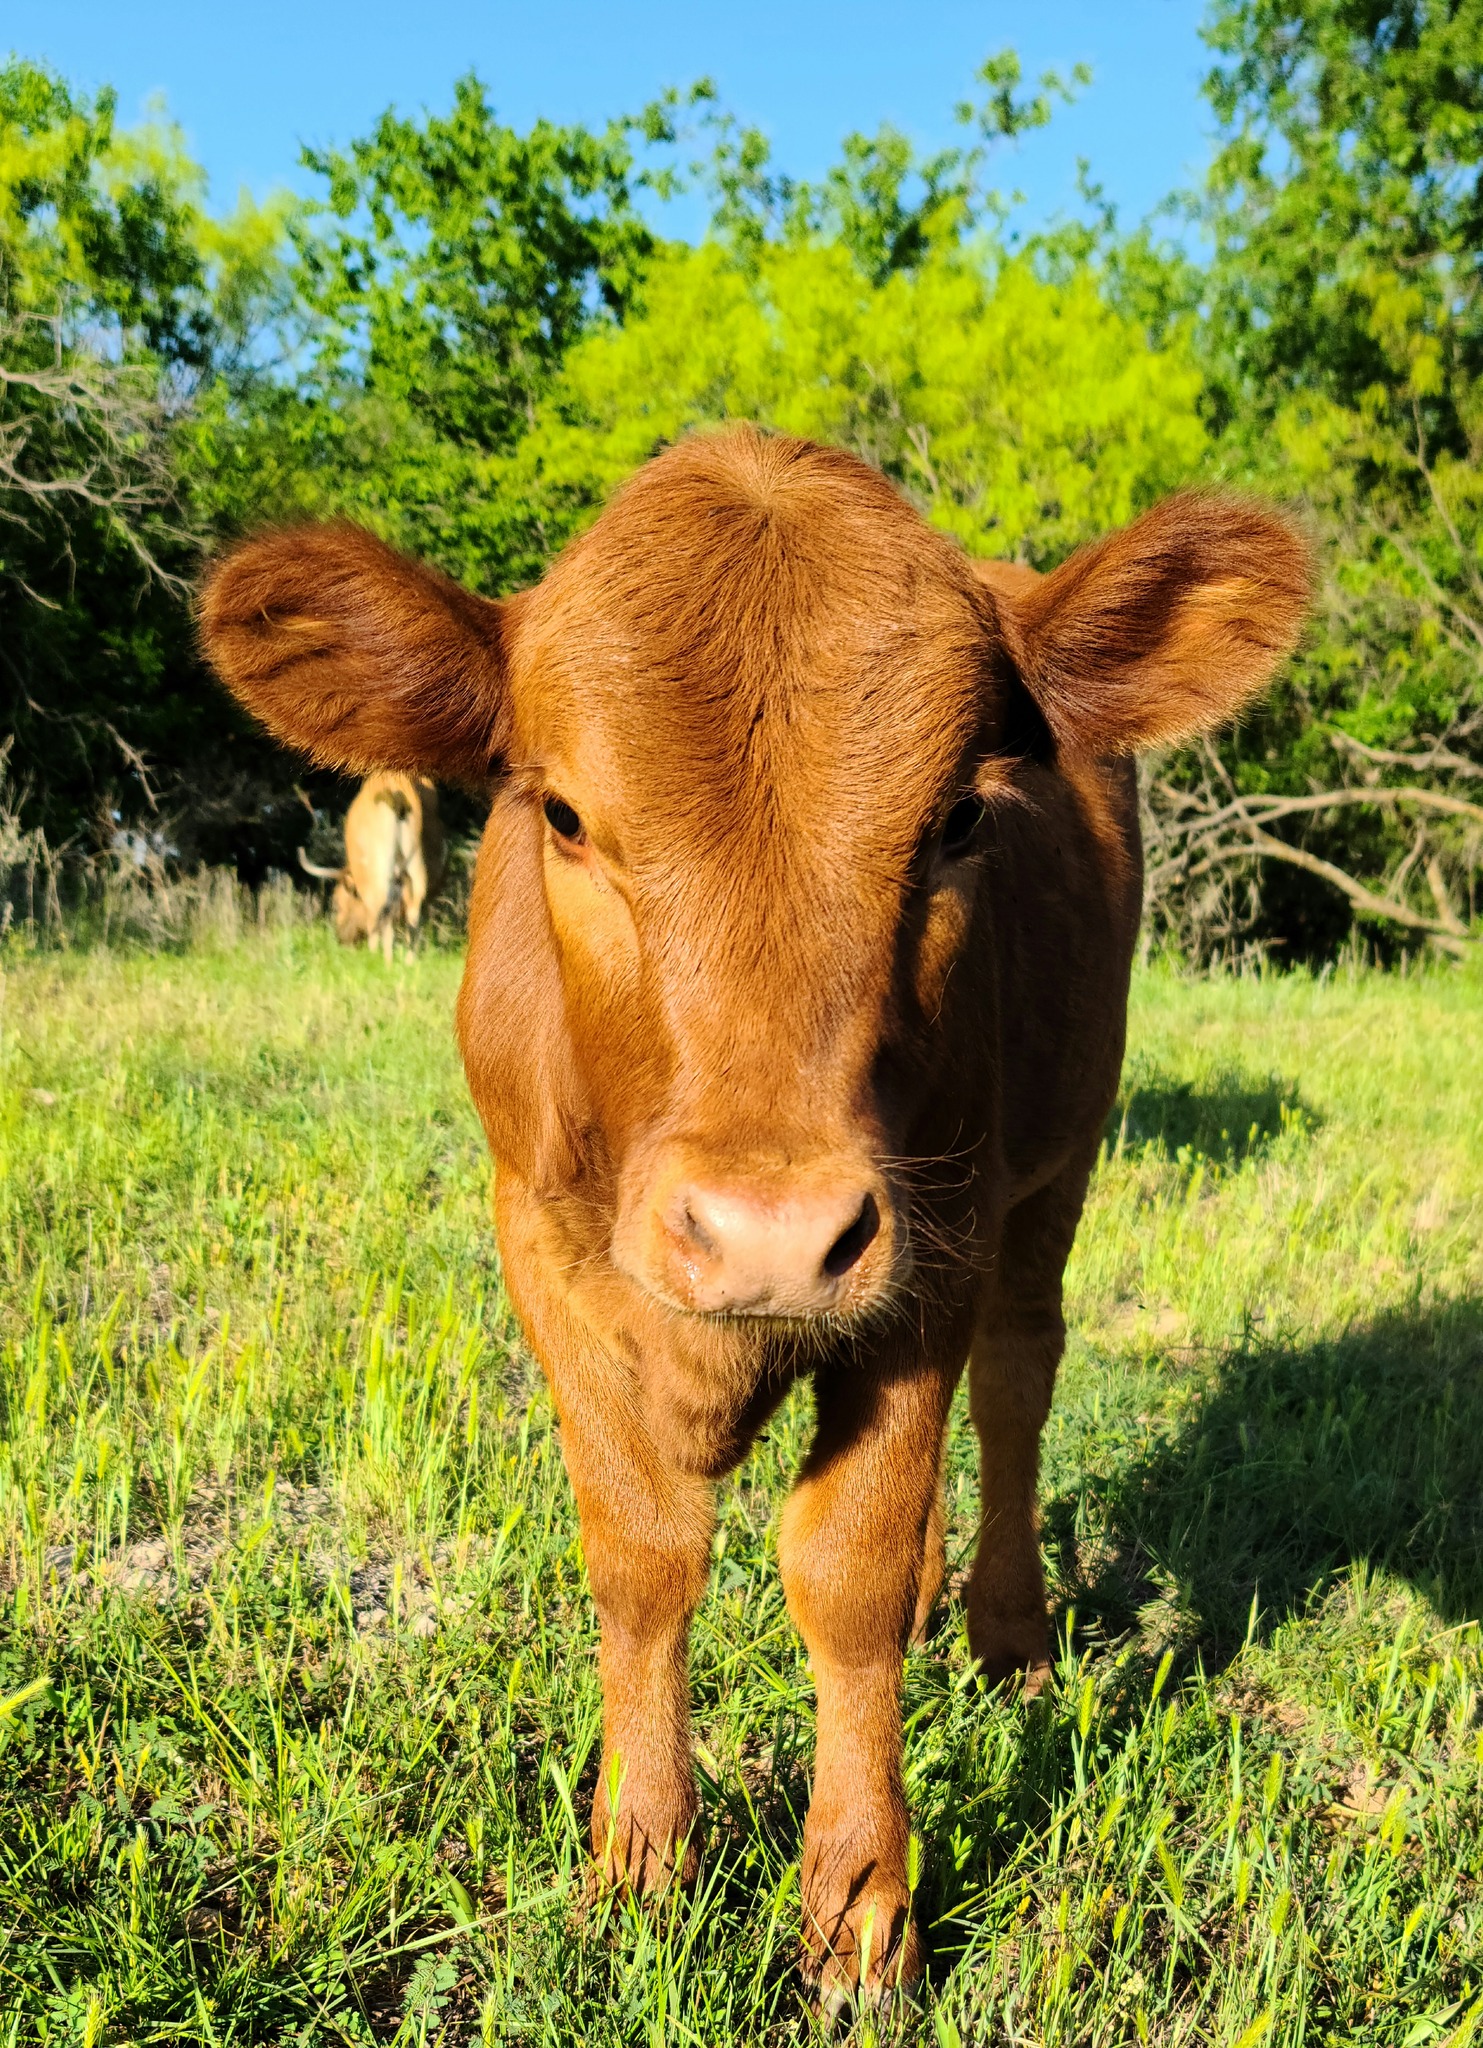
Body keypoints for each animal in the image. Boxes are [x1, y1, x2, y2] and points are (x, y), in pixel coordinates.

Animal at [297, 770, 446, 960]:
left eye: (337, 903)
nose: (340, 939)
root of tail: (394, 791)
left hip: (379, 871)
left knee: (381, 915)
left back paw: (381, 959)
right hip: (417, 870)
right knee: (413, 913)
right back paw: (408, 961)